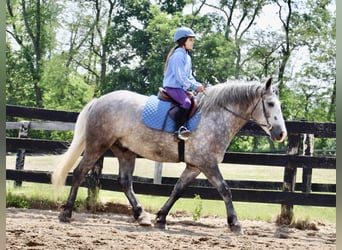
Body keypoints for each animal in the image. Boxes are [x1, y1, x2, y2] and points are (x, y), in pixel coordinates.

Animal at [51, 77, 286, 233]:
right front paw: (234, 223)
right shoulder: (207, 163)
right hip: (97, 146)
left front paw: (161, 217)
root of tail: (98, 101)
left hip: (125, 151)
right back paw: (66, 213)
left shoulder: (194, 166)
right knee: (80, 172)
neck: (216, 117)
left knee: (125, 182)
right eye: (271, 104)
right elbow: (225, 190)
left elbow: (177, 189)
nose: (281, 134)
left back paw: (141, 215)